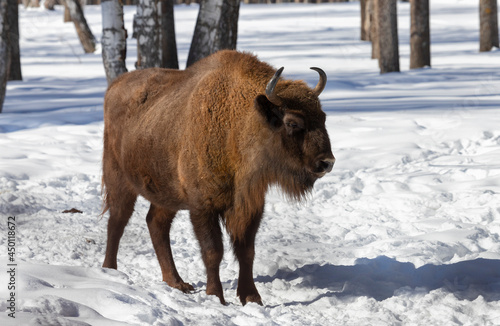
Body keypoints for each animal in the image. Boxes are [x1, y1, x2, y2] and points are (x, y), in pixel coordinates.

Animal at [100, 49, 336, 304]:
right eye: (292, 122)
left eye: (323, 117)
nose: (327, 162)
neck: (238, 123)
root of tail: (114, 87)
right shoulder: (203, 206)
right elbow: (213, 250)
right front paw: (216, 296)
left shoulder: (249, 206)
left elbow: (246, 251)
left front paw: (252, 297)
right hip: (119, 180)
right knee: (117, 221)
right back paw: (110, 270)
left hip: (166, 194)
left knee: (156, 224)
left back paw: (177, 283)